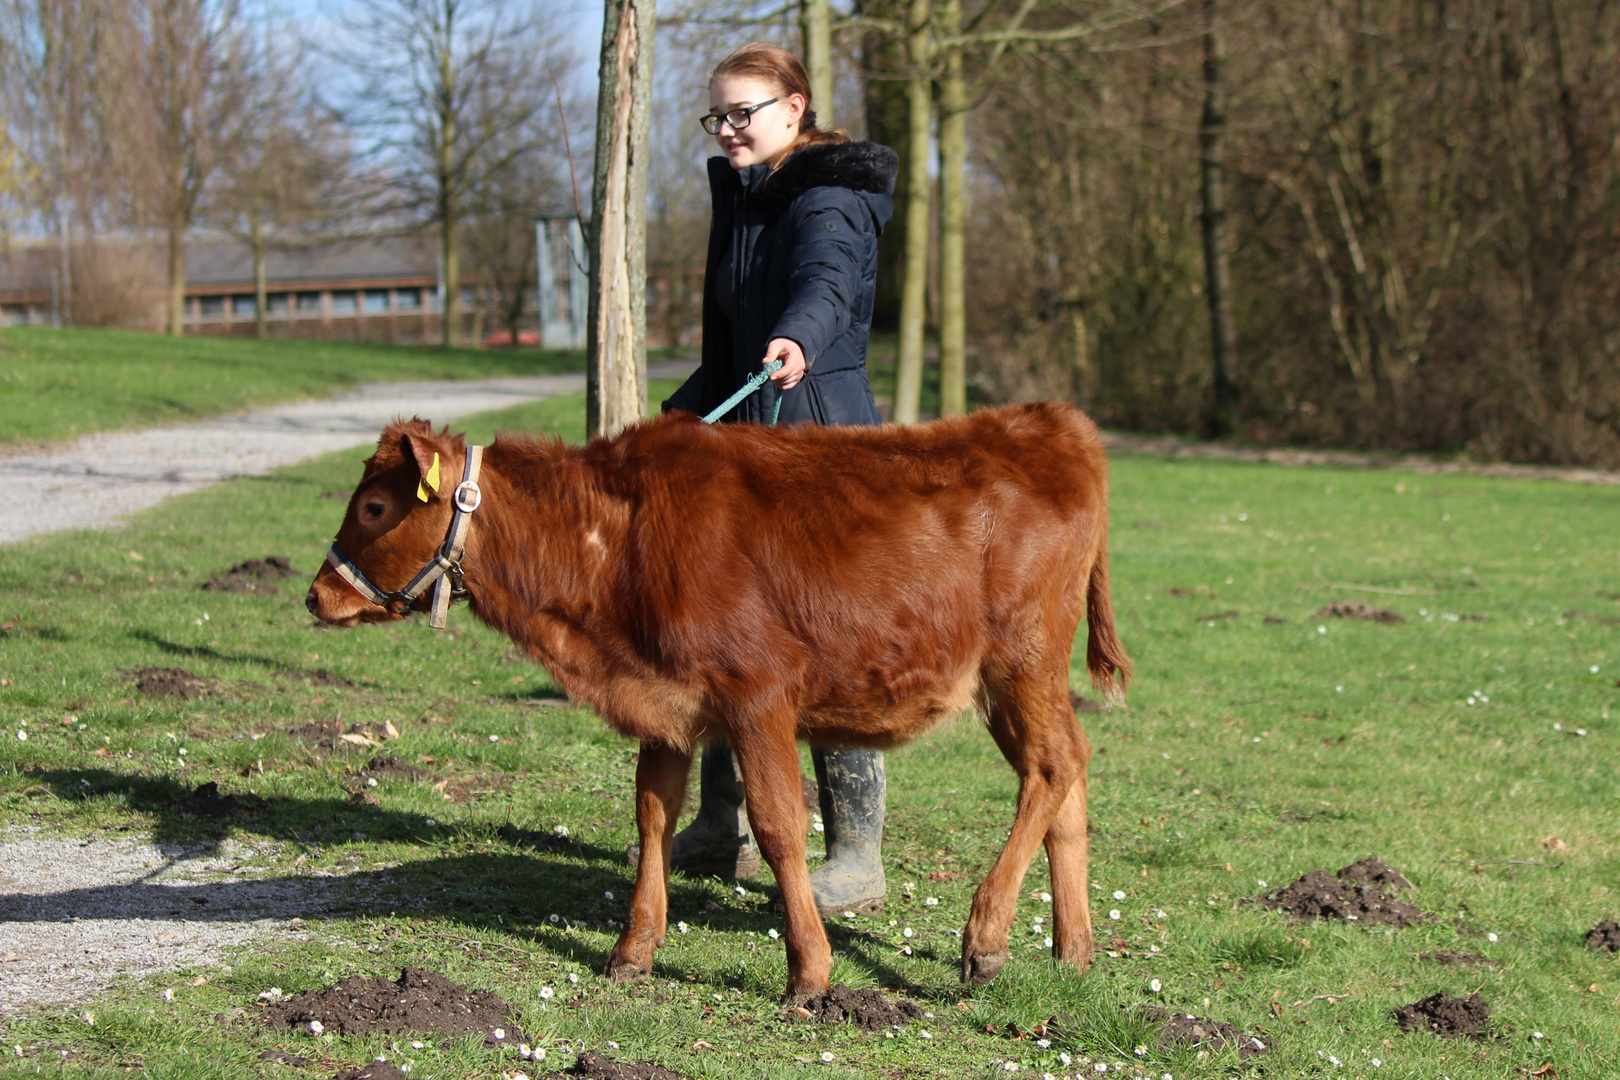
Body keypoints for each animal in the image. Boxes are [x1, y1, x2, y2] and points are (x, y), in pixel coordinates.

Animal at [309, 401, 1134, 1003]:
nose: (317, 594)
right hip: (1017, 678)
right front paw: (633, 949)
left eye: (375, 506)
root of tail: (1042, 420)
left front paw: (809, 974)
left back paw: (986, 937)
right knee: (1068, 772)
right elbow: (651, 813)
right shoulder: (665, 702)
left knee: (1050, 766)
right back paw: (1074, 949)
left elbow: (778, 826)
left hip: (1021, 658)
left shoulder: (758, 694)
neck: (616, 547)